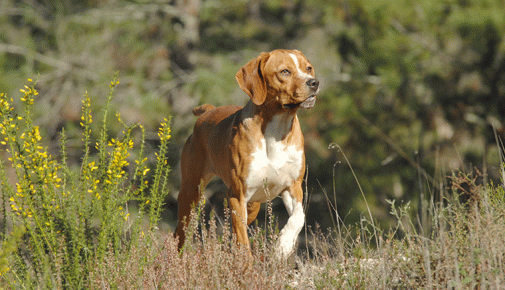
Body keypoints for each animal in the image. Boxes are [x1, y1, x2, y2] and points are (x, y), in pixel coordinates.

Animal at [175, 49, 316, 258]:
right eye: (285, 71)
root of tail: (207, 112)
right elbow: (243, 243)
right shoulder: (237, 196)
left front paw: (283, 246)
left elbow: (299, 217)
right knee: (180, 232)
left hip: (253, 206)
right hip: (191, 192)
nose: (314, 83)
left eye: (308, 68)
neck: (276, 131)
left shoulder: (293, 187)